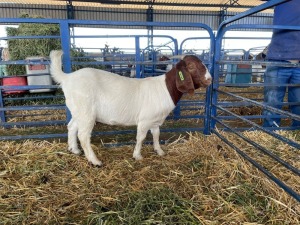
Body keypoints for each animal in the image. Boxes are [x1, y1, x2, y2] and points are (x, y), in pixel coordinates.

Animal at [49, 50, 211, 166]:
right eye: (191, 66)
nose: (209, 79)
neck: (165, 88)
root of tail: (67, 78)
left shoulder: (155, 120)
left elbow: (156, 135)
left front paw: (159, 151)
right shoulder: (145, 120)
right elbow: (141, 137)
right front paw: (137, 156)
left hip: (78, 110)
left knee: (72, 127)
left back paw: (74, 150)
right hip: (86, 112)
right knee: (83, 135)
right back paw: (95, 161)